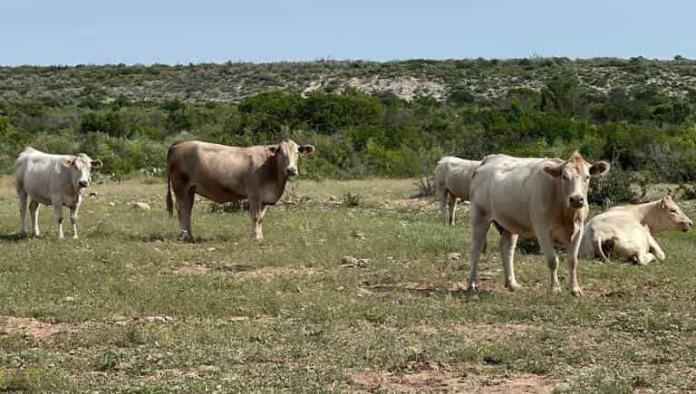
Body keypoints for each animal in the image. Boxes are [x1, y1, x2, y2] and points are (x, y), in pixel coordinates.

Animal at [164, 140, 314, 242]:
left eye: (297, 153)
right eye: (281, 154)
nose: (291, 170)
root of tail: (179, 143)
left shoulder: (264, 197)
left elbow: (261, 218)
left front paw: (260, 236)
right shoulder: (254, 194)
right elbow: (255, 216)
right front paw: (255, 238)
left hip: (190, 189)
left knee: (188, 209)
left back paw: (189, 235)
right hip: (180, 186)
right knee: (182, 209)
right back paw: (184, 236)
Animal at [468, 152, 608, 294]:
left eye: (587, 177)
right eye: (564, 176)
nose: (576, 199)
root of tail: (490, 158)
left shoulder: (578, 230)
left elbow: (573, 260)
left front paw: (575, 289)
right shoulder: (542, 229)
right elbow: (553, 260)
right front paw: (555, 287)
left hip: (509, 222)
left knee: (507, 249)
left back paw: (512, 284)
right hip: (479, 215)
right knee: (476, 248)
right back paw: (472, 284)